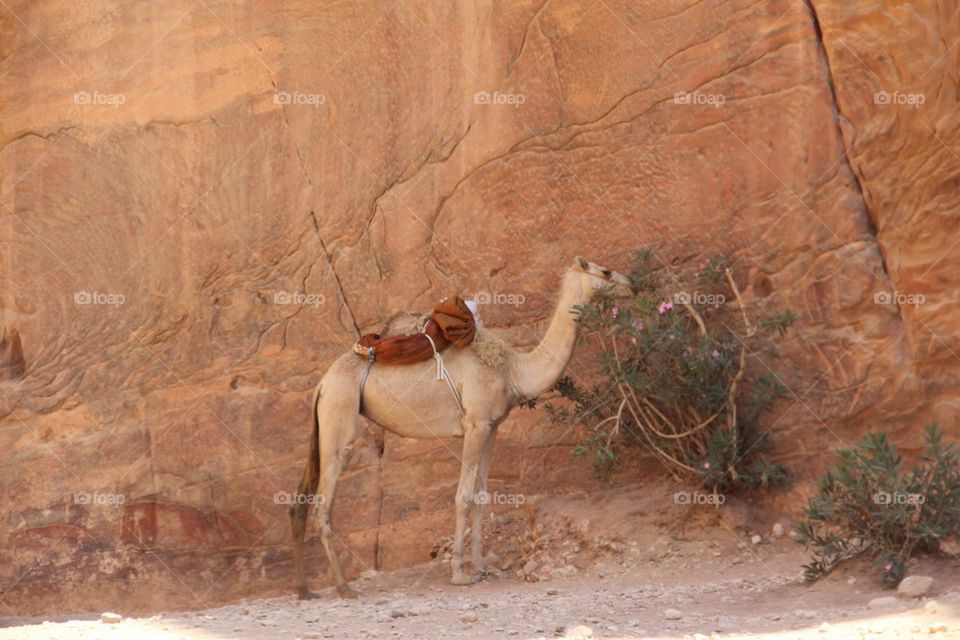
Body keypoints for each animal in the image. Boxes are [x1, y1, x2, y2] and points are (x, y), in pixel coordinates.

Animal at [290, 257, 634, 598]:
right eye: (605, 271)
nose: (632, 285)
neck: (513, 370)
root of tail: (322, 384)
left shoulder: (492, 426)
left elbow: (481, 494)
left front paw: (481, 568)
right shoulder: (475, 424)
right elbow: (463, 495)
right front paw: (459, 574)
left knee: (301, 500)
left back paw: (305, 589)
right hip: (340, 412)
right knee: (322, 502)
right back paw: (343, 586)